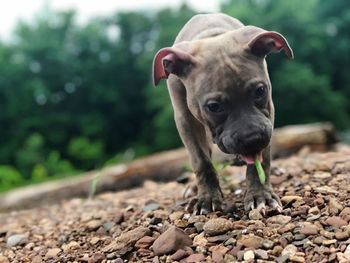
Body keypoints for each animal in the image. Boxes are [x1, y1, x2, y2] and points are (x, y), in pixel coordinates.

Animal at [152, 12, 292, 216]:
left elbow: (262, 159)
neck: (212, 36)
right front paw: (207, 198)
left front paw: (260, 194)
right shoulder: (185, 120)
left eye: (260, 91)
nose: (253, 140)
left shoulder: (268, 112)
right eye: (213, 106)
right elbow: (201, 161)